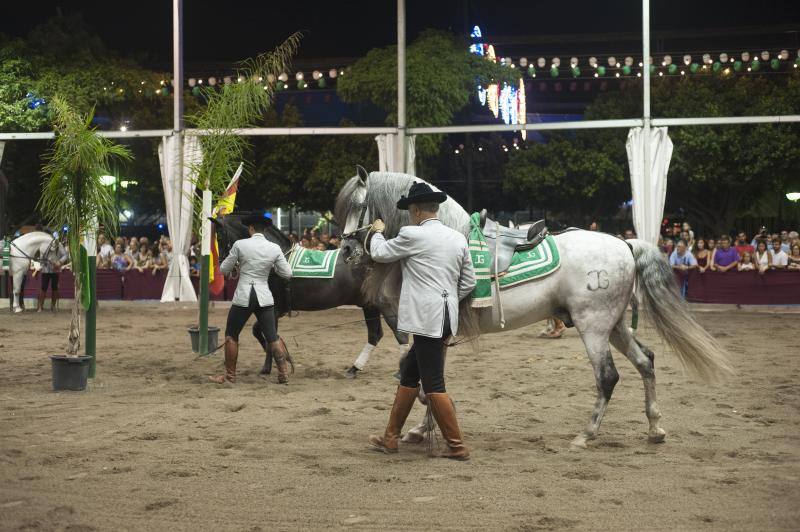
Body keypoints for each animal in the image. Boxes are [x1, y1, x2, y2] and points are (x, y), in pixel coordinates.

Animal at [334, 171, 736, 448]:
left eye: (359, 206)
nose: (348, 252)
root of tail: (624, 243)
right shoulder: (431, 335)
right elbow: (424, 380)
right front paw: (422, 427)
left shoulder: (427, 331)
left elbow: (421, 380)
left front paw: (422, 428)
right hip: (615, 326)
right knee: (646, 362)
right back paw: (655, 428)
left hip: (593, 328)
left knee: (608, 377)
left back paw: (586, 435)